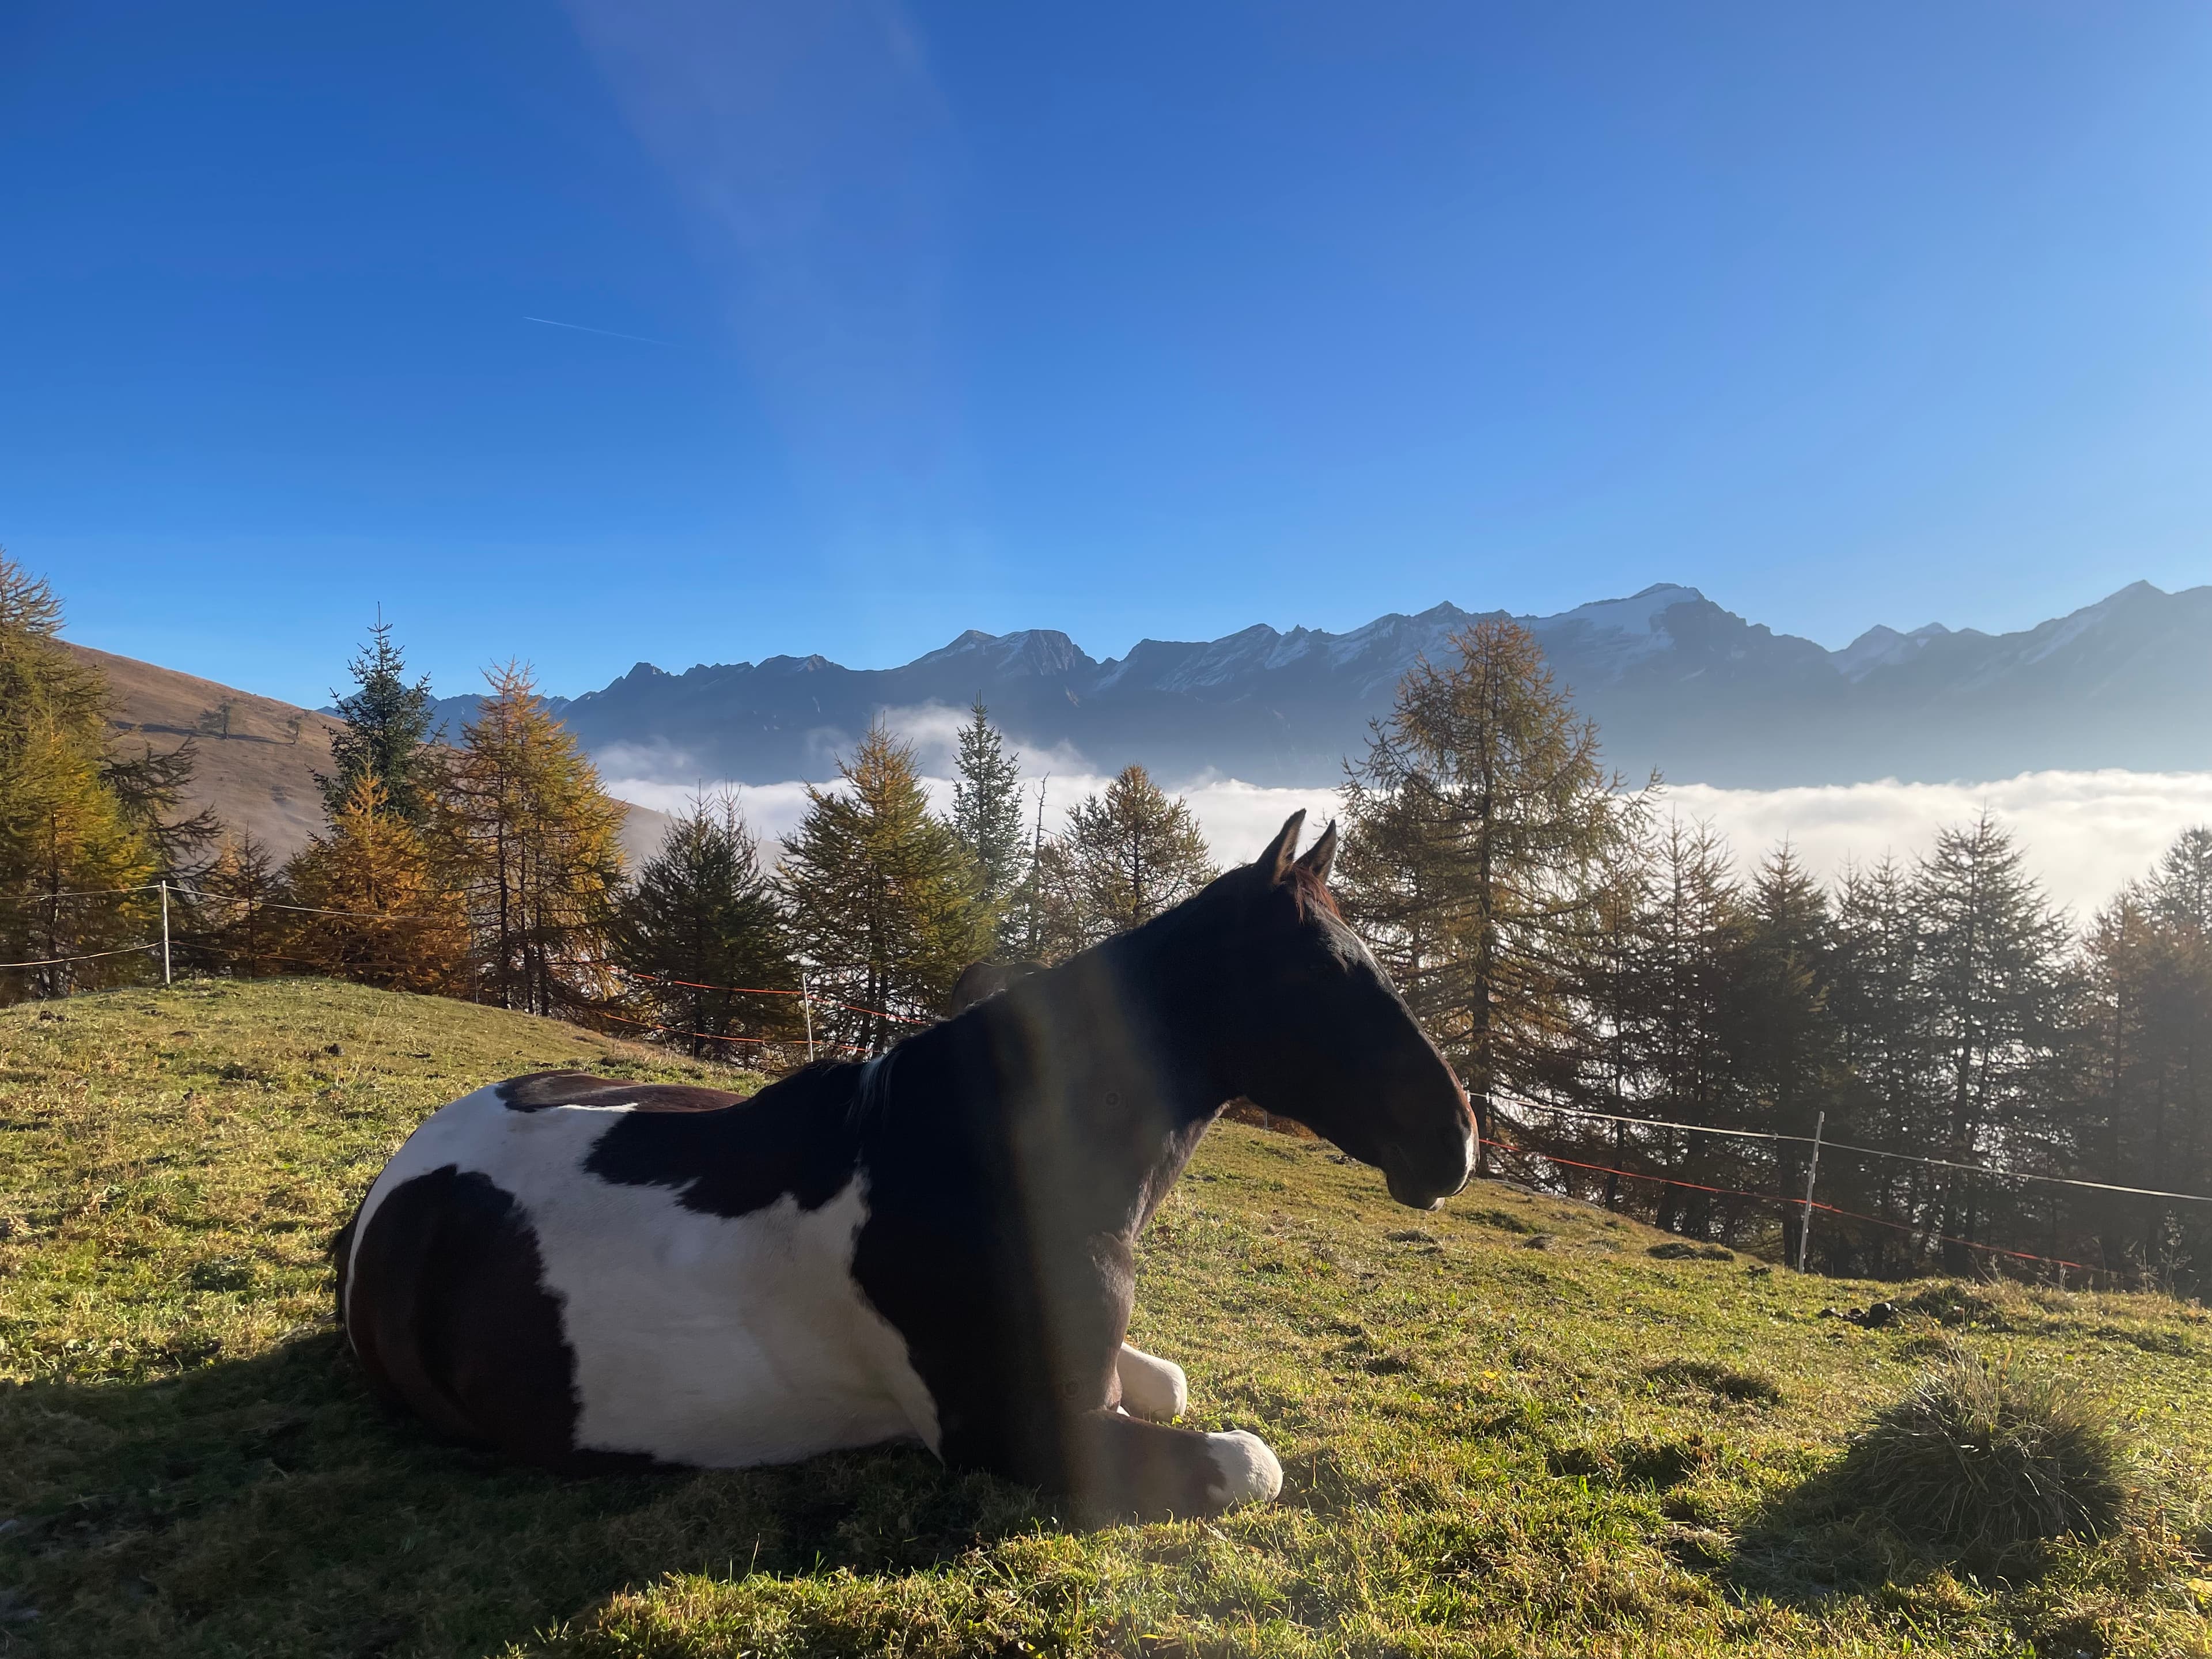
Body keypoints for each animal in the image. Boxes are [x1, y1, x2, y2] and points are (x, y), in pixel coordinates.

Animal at [336, 812, 1473, 1517]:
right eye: (1318, 976)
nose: (1457, 1141)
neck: (978, 1171)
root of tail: (399, 1187)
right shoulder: (1030, 1438)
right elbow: (1252, 1459)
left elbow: (1171, 1380)